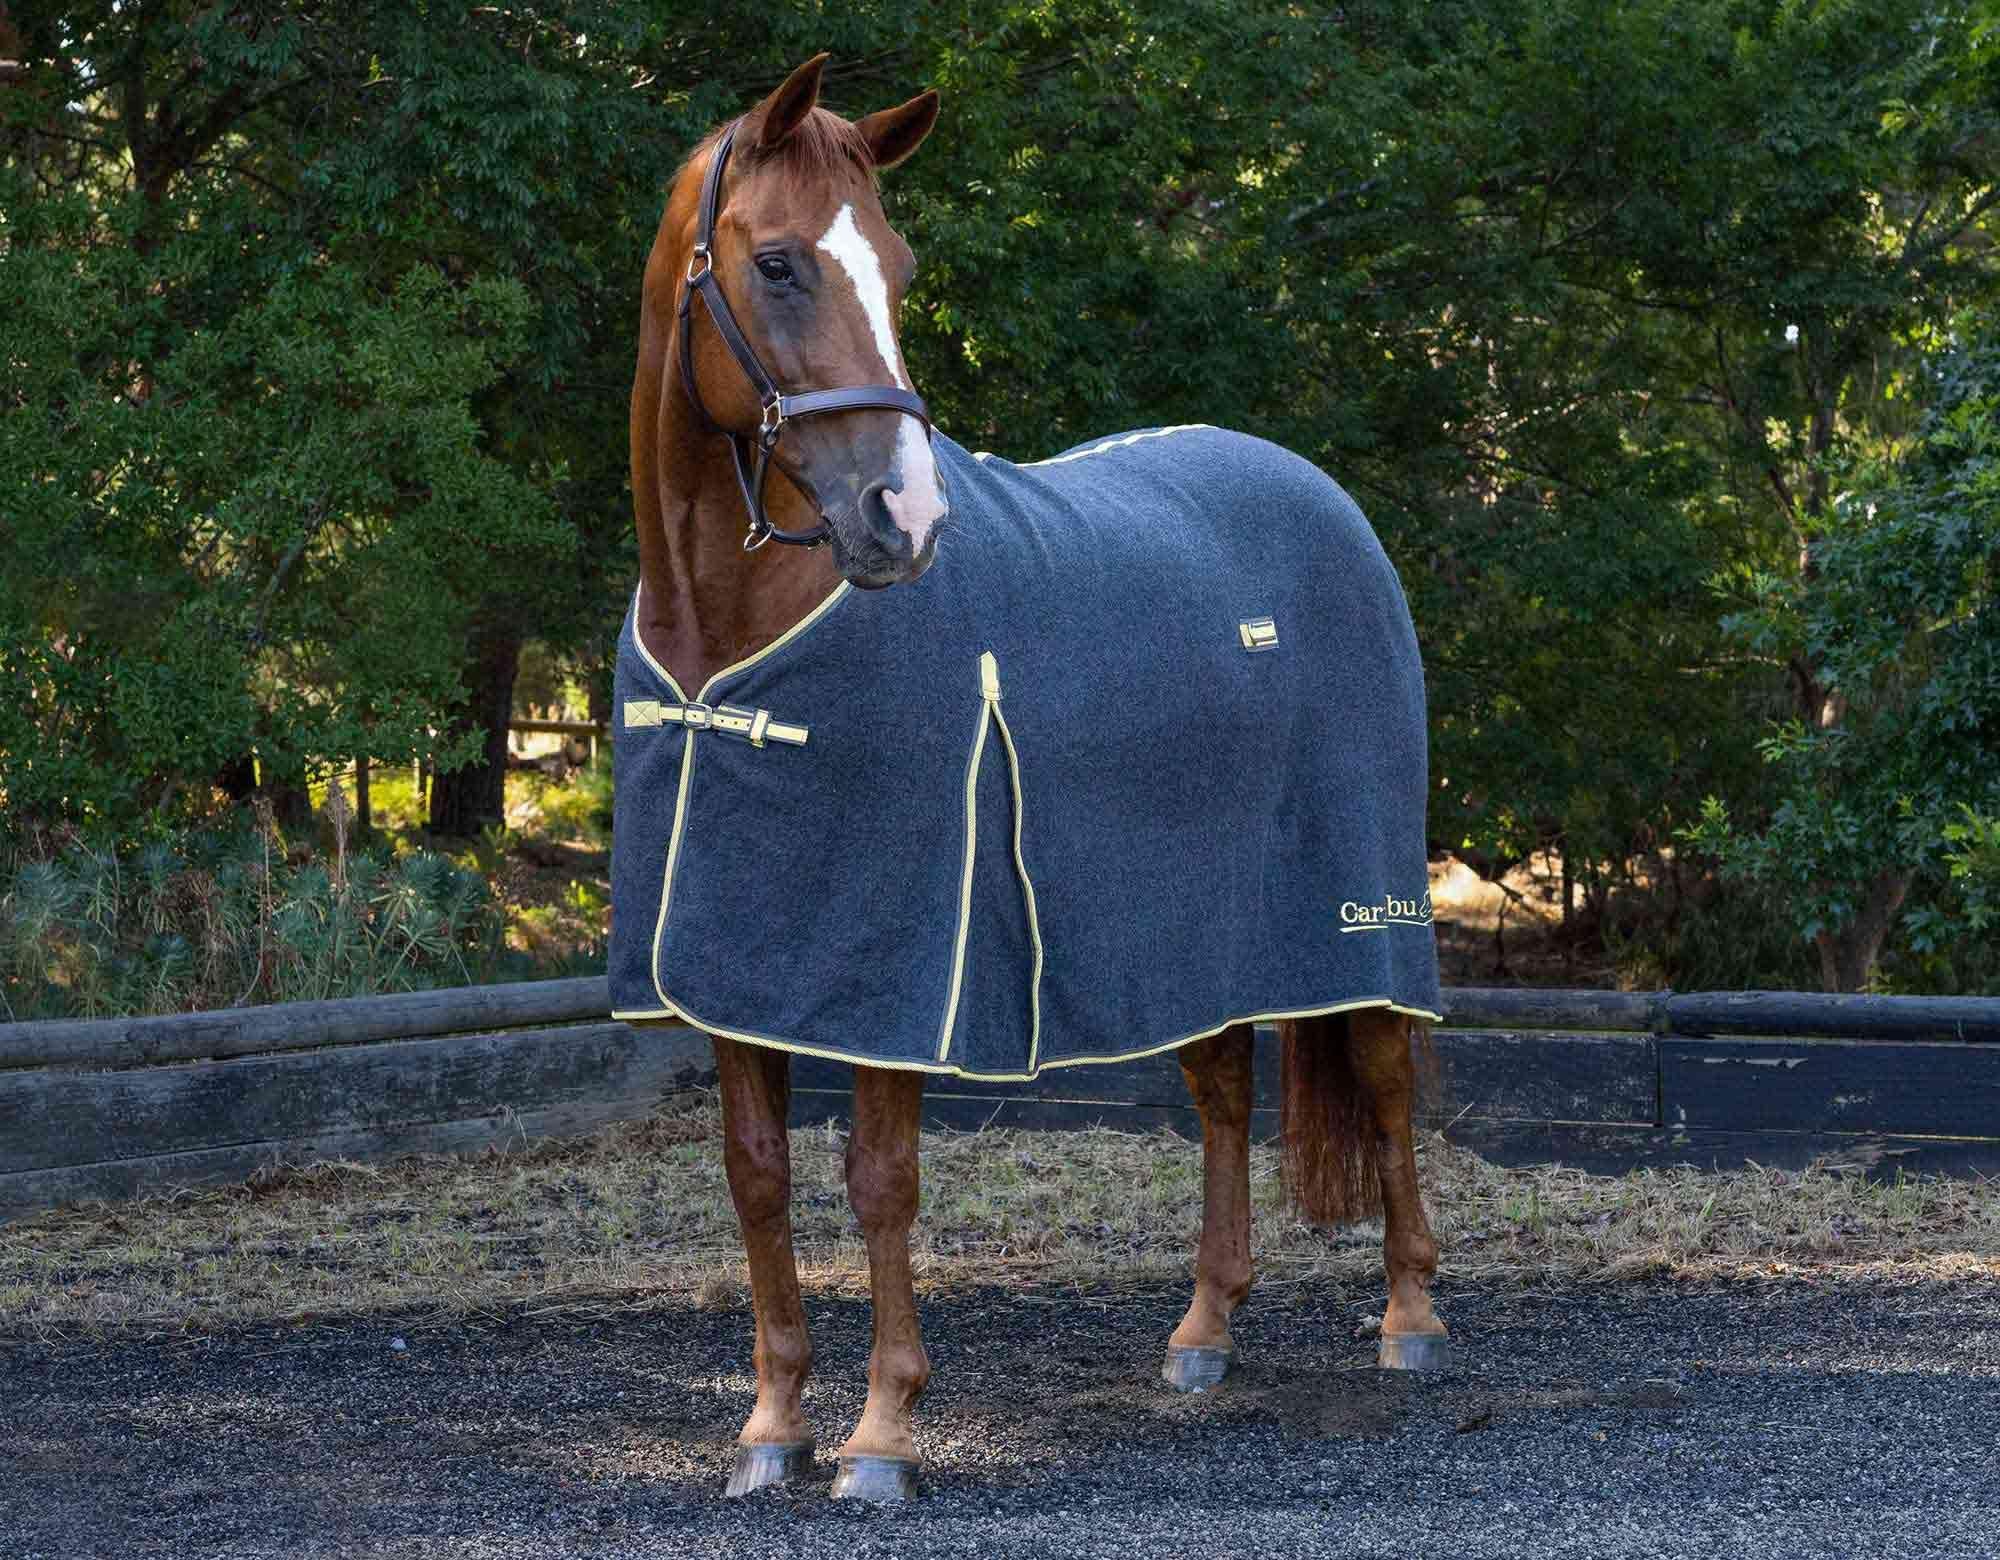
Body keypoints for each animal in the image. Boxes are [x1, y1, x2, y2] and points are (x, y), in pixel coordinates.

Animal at [615, 54, 1450, 1502]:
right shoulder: (737, 967)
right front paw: (771, 1428)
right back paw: (1202, 1333)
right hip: (1184, 932)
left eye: (898, 266)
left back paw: (1409, 1316)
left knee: (1386, 1077)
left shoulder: (890, 970)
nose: (903, 520)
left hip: (1359, 912)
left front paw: (882, 1438)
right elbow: (758, 1177)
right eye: (776, 263)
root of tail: (1316, 493)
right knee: (1222, 1091)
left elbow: (882, 1181)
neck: (728, 632)